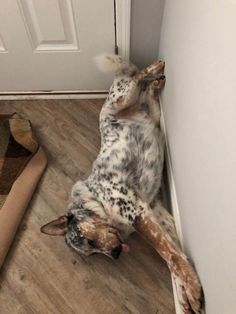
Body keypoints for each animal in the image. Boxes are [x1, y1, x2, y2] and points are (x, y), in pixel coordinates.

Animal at [40, 54, 203, 314]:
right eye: (92, 253)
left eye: (89, 241)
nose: (116, 254)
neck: (96, 201)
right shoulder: (158, 213)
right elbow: (175, 256)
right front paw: (184, 295)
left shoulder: (137, 212)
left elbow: (169, 255)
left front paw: (193, 289)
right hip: (152, 114)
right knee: (147, 92)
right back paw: (156, 83)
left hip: (119, 99)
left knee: (136, 74)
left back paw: (155, 67)